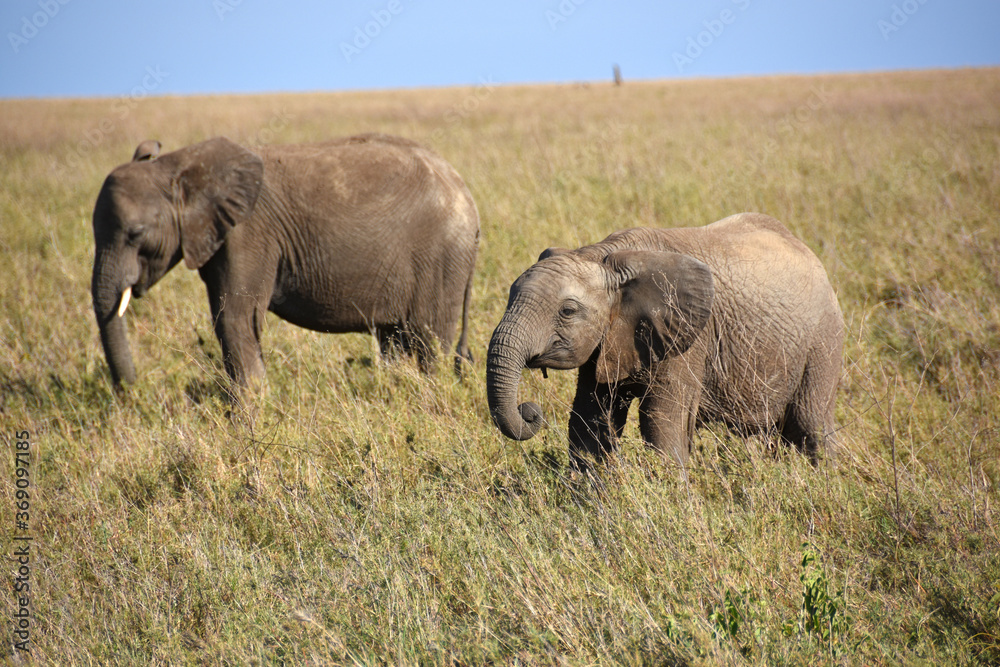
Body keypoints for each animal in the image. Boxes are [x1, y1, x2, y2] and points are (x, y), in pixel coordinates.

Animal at [91, 133, 480, 390]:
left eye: (135, 234)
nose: (132, 391)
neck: (177, 166)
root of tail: (467, 195)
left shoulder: (249, 233)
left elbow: (236, 319)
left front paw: (248, 419)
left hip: (441, 260)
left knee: (428, 341)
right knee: (395, 341)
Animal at [486, 213, 844, 469]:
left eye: (567, 311)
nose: (530, 410)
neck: (605, 256)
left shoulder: (688, 338)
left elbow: (662, 424)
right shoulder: (606, 341)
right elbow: (590, 420)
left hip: (823, 341)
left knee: (810, 424)